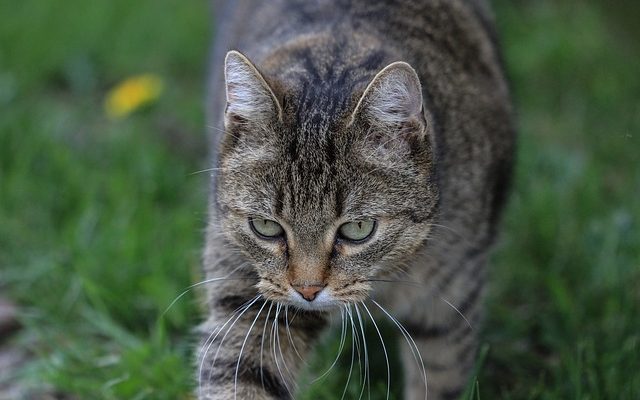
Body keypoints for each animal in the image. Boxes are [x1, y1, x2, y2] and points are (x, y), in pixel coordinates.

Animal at [200, 0, 516, 400]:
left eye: (358, 229)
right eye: (266, 227)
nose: (307, 291)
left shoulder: (451, 302)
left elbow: (439, 376)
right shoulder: (249, 298)